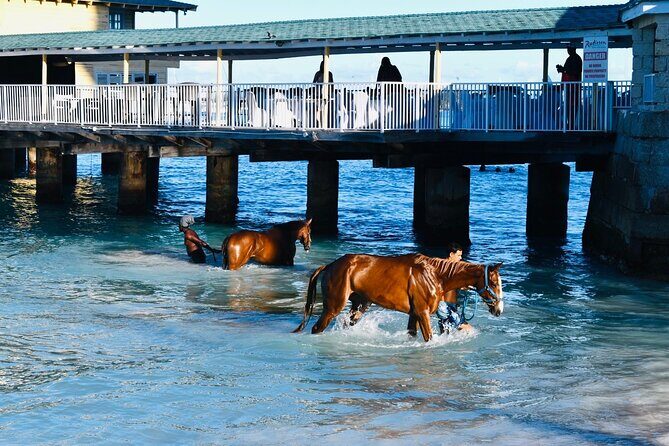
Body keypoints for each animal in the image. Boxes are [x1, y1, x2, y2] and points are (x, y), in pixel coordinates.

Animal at [292, 254, 504, 342]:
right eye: (493, 283)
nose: (498, 309)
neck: (435, 275)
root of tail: (330, 265)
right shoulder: (422, 313)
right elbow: (429, 338)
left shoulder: (414, 314)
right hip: (333, 307)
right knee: (317, 328)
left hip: (360, 306)